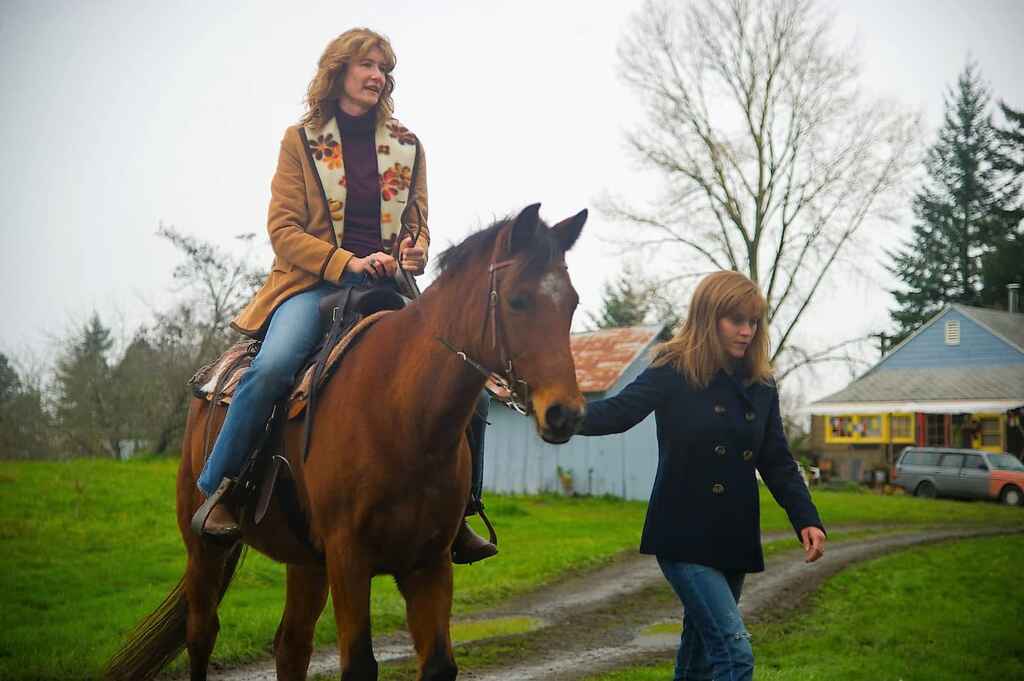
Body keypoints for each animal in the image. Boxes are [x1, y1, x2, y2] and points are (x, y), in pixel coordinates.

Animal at [104, 202, 589, 679]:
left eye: (572, 303)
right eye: (517, 300)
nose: (564, 413)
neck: (400, 413)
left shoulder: (429, 563)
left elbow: (438, 664)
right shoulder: (348, 559)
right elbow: (358, 664)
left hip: (306, 562)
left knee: (291, 646)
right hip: (205, 546)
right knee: (201, 634)